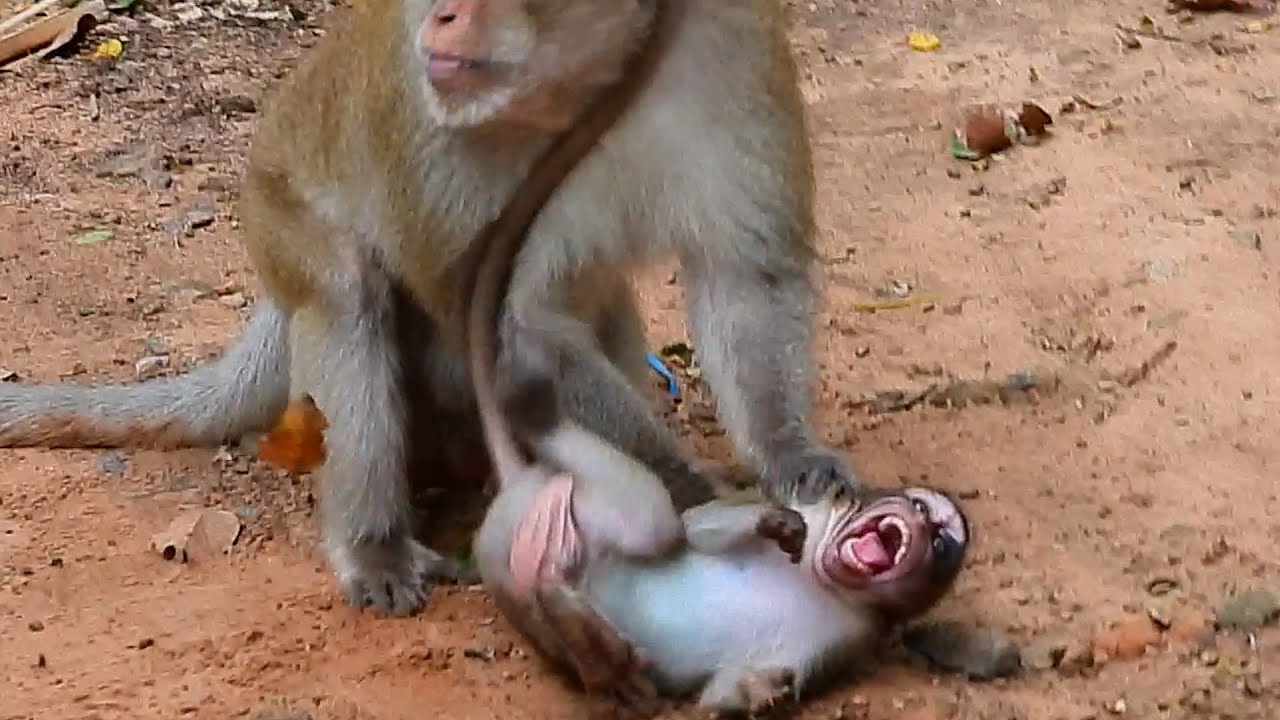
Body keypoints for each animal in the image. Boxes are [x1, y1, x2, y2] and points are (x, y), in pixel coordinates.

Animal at [0, 0, 858, 619]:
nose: (440, 17)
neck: (584, 86)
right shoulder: (429, 126)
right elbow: (502, 334)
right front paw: (690, 489)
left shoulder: (729, 49)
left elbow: (746, 274)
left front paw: (788, 456)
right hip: (276, 219)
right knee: (347, 296)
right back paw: (375, 544)